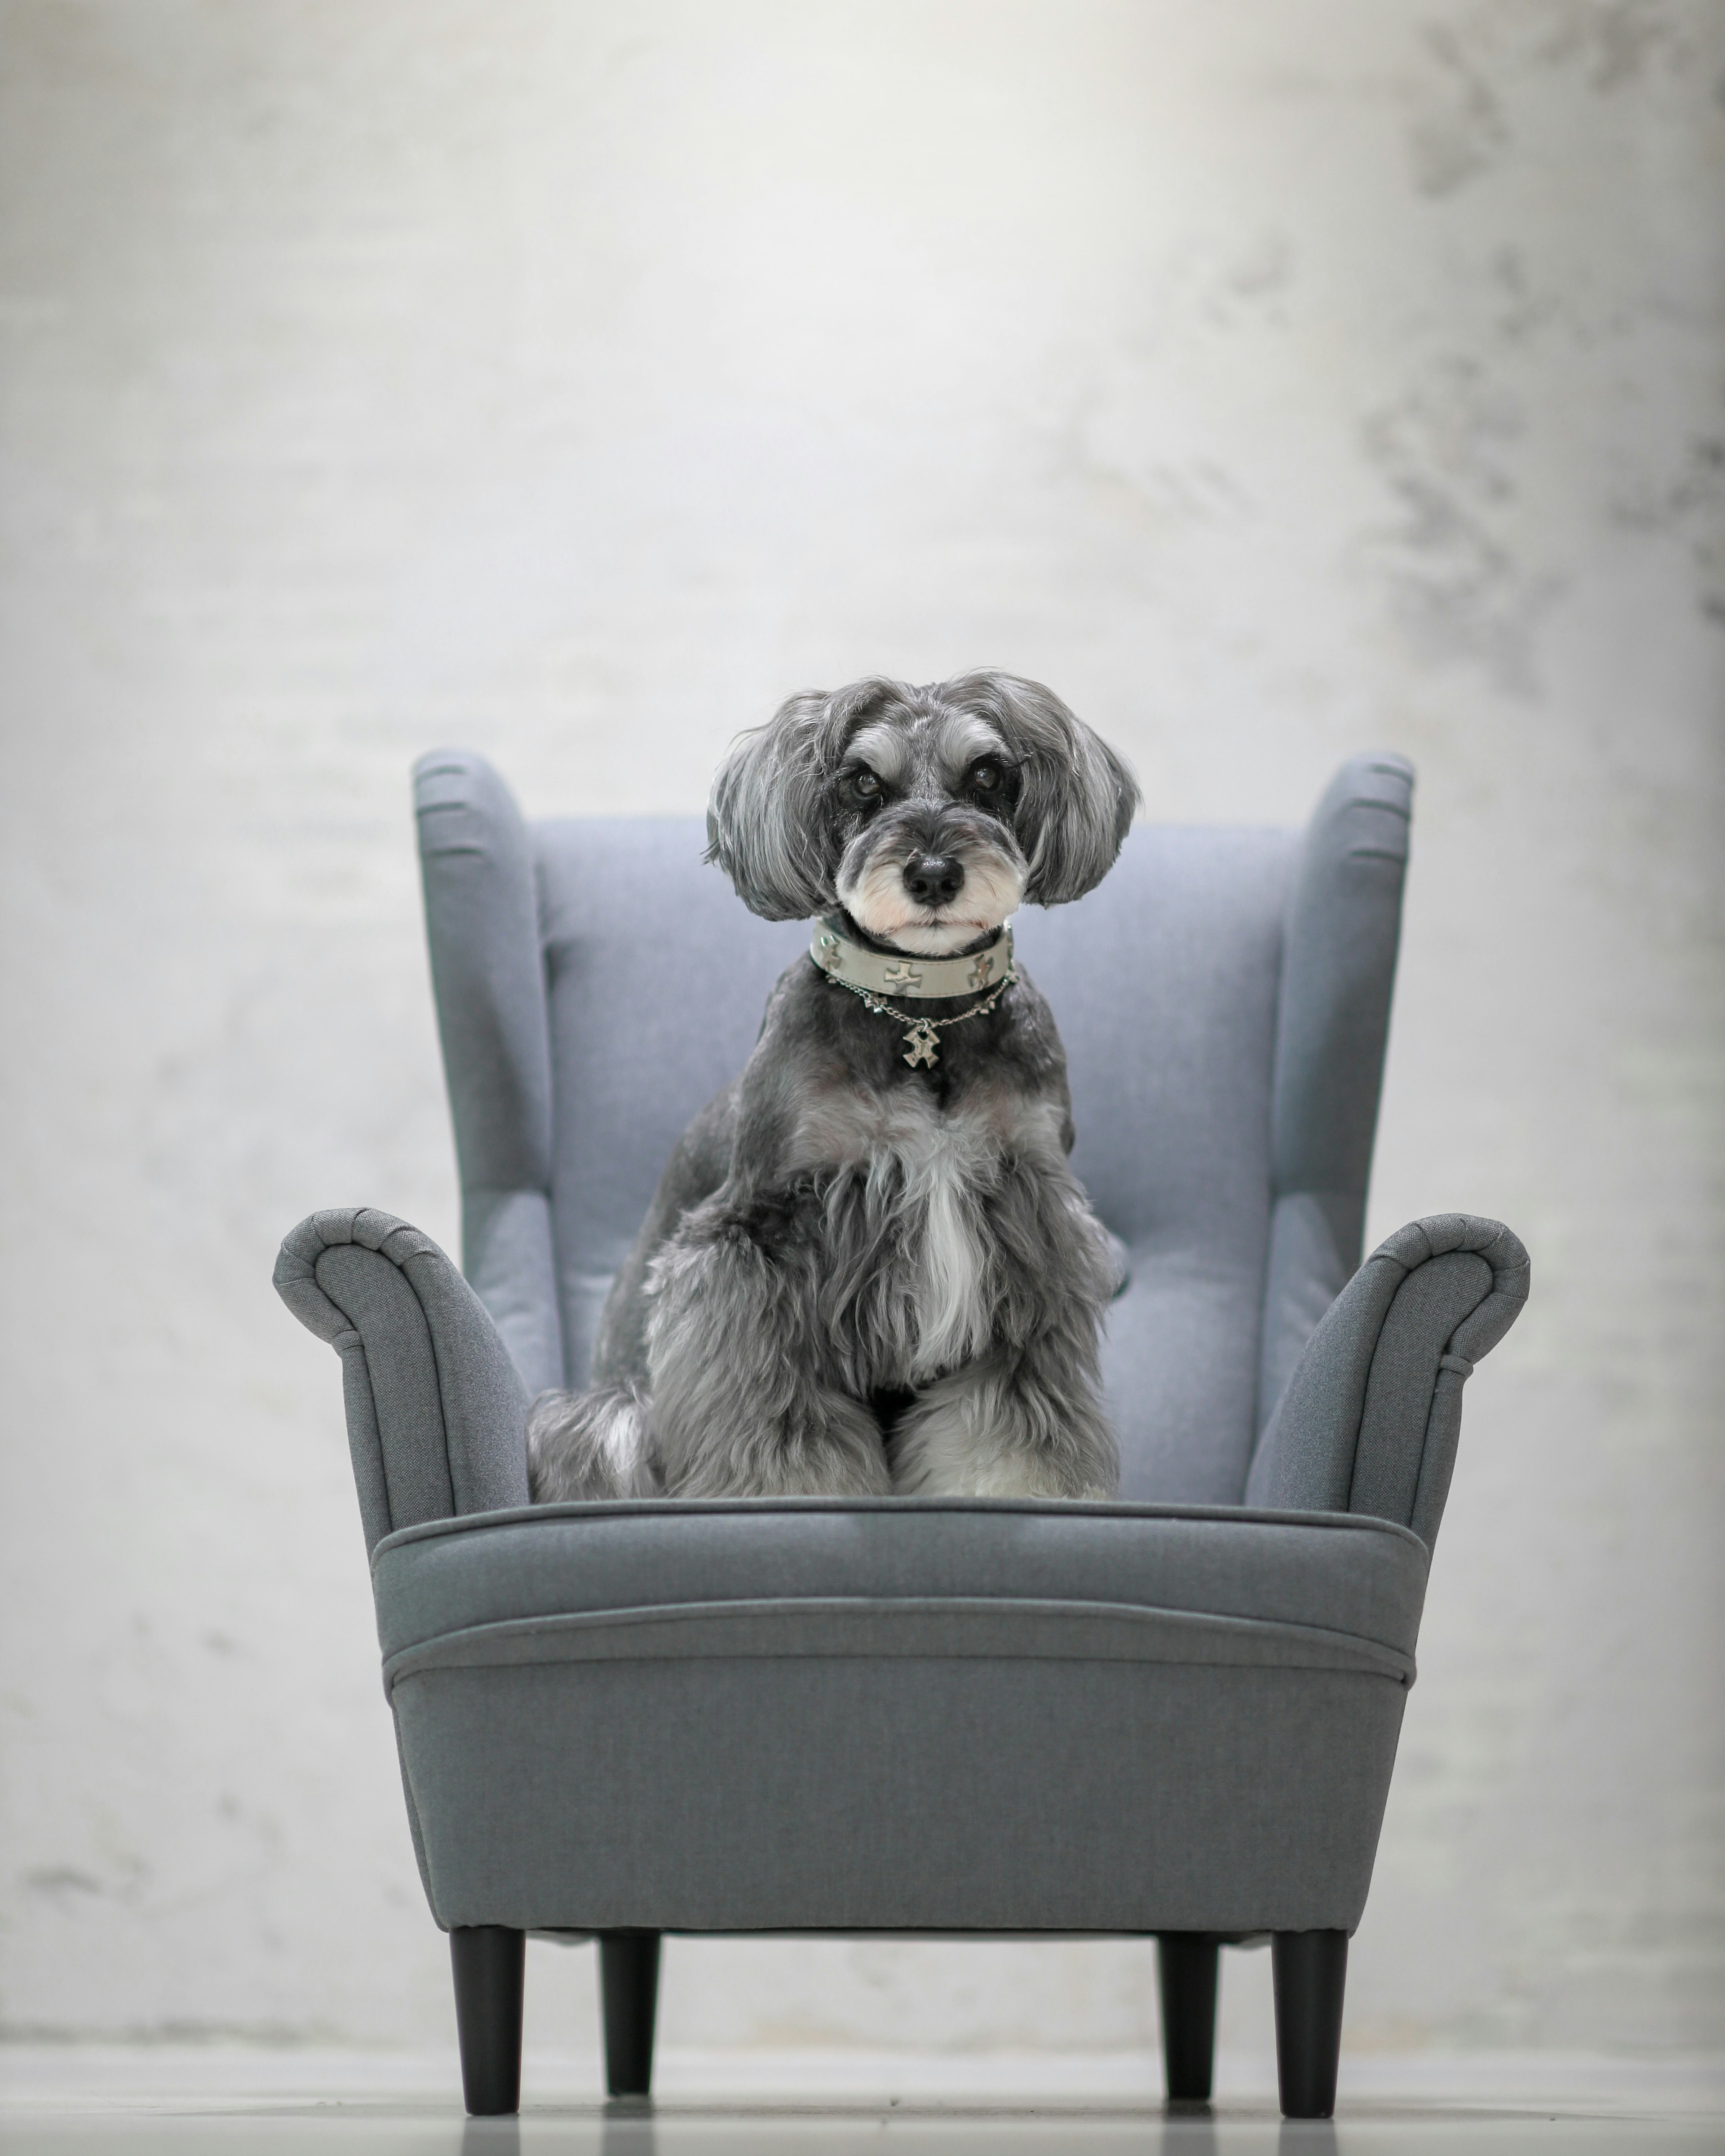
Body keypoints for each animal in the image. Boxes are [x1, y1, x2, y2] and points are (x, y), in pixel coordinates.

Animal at [526, 668, 1147, 1500]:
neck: (922, 1014)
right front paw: (788, 1494)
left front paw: (1014, 1488)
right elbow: (775, 1416)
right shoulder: (757, 1238)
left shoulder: (1029, 1227)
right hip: (612, 1421)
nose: (934, 876)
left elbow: (1015, 1409)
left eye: (987, 775)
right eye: (862, 782)